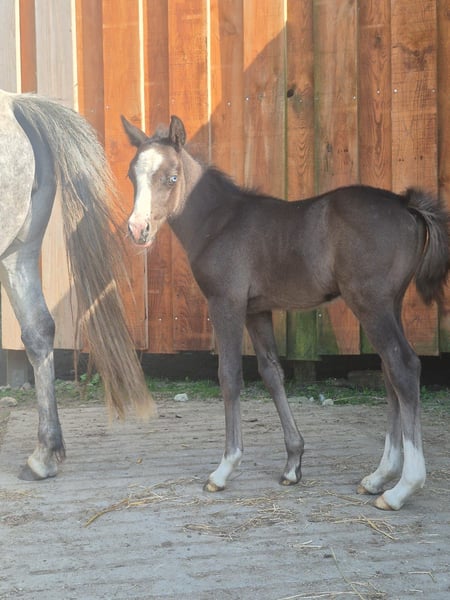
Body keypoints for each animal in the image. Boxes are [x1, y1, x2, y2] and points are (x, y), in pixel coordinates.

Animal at [121, 114, 449, 510]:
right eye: (131, 175)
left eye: (171, 177)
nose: (138, 229)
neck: (219, 222)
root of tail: (406, 205)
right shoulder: (257, 310)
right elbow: (272, 373)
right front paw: (293, 463)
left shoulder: (226, 302)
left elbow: (229, 376)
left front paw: (224, 469)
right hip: (391, 303)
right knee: (390, 372)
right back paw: (379, 476)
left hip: (370, 302)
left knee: (404, 366)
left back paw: (402, 488)